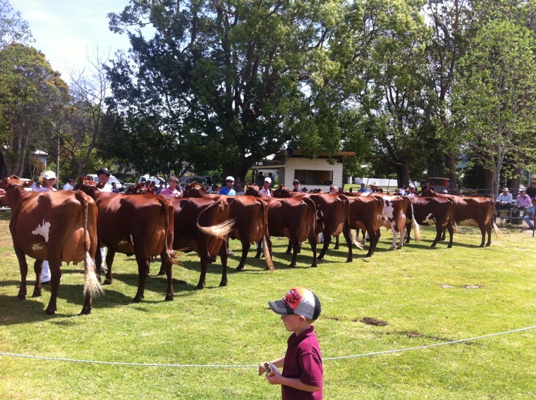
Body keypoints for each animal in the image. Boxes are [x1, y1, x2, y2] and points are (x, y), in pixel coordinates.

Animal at [0, 175, 100, 316]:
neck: (20, 198)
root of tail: (78, 193)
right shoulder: (41, 248)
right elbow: (38, 267)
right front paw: (37, 291)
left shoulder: (17, 244)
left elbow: (24, 268)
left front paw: (22, 293)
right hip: (92, 247)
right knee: (90, 272)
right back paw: (86, 308)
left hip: (54, 247)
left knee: (56, 275)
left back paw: (51, 308)